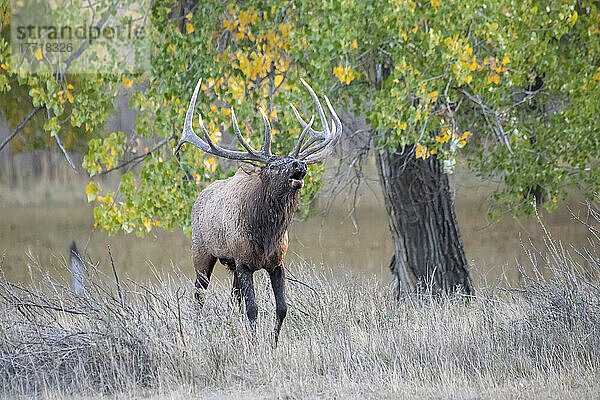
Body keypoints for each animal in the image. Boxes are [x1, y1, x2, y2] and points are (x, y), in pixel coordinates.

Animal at [175, 79, 342, 344]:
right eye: (273, 165)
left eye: (293, 160)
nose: (300, 164)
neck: (266, 236)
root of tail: (199, 197)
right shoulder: (243, 262)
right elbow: (252, 309)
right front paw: (255, 343)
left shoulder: (276, 262)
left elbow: (281, 308)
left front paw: (273, 343)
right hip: (201, 251)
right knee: (199, 294)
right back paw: (200, 330)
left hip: (231, 264)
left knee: (232, 299)